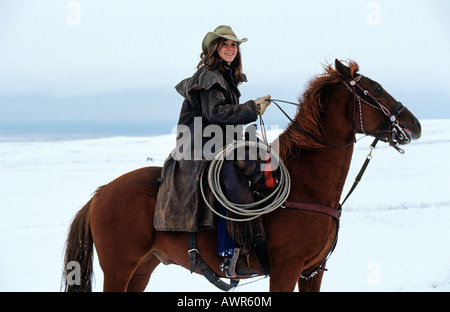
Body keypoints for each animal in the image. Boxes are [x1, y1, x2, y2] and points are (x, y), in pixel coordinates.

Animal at [62, 59, 422, 292]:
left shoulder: (312, 272)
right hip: (119, 268)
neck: (306, 186)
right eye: (376, 89)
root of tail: (101, 194)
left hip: (142, 268)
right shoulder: (286, 270)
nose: (414, 125)